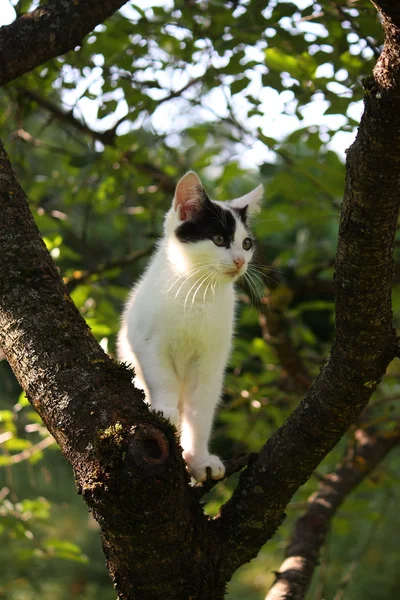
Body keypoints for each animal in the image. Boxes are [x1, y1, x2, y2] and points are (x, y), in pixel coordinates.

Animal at [117, 170, 264, 482]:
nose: (240, 261)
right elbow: (162, 377)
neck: (198, 292)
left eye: (246, 244)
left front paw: (199, 459)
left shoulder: (210, 362)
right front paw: (164, 409)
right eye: (219, 239)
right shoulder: (146, 342)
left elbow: (201, 410)